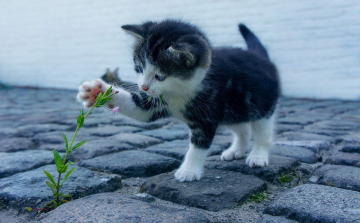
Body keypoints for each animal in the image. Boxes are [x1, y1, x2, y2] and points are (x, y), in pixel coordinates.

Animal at [77, 19, 280, 181]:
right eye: (140, 68)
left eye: (160, 76)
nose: (143, 86)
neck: (180, 91)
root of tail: (261, 57)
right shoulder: (156, 102)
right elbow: (139, 109)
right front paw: (97, 92)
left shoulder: (207, 113)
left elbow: (199, 145)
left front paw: (189, 171)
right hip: (233, 110)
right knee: (243, 129)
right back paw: (236, 150)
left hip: (261, 105)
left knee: (262, 132)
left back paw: (258, 156)